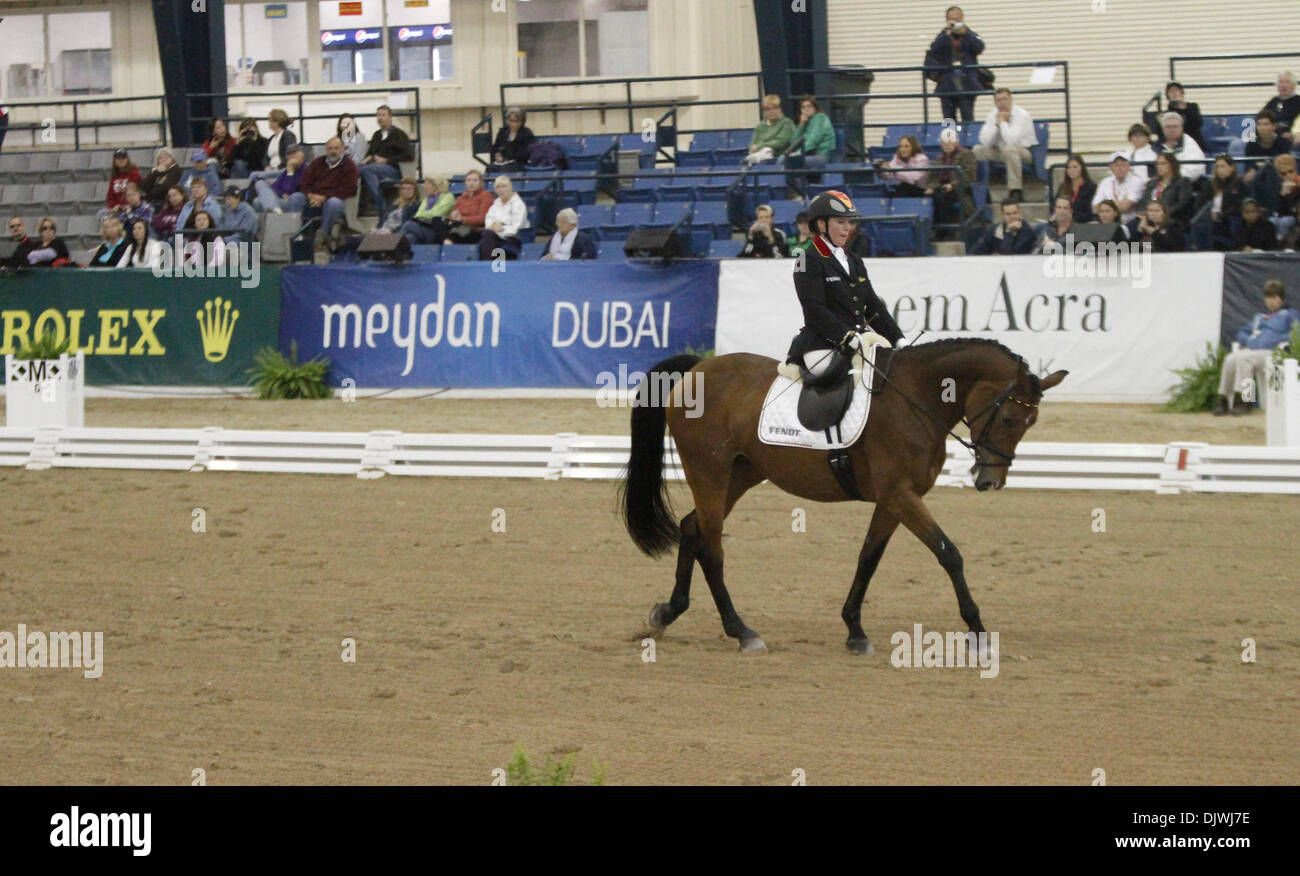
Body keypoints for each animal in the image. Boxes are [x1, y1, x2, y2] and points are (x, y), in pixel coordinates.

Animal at [618, 337, 1066, 652]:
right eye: (1008, 418)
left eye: (1032, 421)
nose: (990, 481)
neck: (916, 399)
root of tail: (699, 367)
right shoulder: (901, 495)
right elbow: (949, 553)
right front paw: (977, 629)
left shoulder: (892, 500)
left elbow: (868, 558)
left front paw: (854, 629)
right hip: (709, 472)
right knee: (711, 546)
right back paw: (742, 631)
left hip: (740, 474)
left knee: (692, 528)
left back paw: (667, 612)